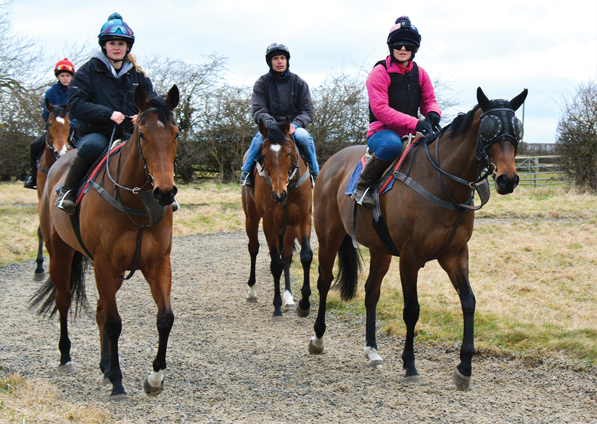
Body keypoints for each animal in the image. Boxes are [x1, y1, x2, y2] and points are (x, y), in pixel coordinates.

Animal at [32, 84, 179, 400]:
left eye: (175, 134)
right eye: (142, 134)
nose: (165, 192)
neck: (136, 201)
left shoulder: (158, 263)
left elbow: (165, 318)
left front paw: (154, 378)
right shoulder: (103, 263)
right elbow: (113, 323)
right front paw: (118, 382)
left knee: (100, 308)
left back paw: (104, 365)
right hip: (60, 253)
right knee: (64, 299)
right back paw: (66, 356)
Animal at [241, 117, 314, 322]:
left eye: (288, 153)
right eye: (264, 156)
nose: (279, 194)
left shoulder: (303, 218)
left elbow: (305, 256)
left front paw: (303, 304)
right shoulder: (269, 223)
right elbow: (275, 264)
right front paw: (276, 308)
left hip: (288, 226)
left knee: (287, 256)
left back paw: (289, 297)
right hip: (251, 218)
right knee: (253, 249)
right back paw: (252, 292)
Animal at [308, 87, 528, 390]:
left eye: (516, 129)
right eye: (488, 130)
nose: (508, 179)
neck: (441, 182)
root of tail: (332, 162)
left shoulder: (455, 254)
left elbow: (469, 302)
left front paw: (465, 367)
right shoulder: (410, 257)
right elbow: (412, 309)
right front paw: (410, 364)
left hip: (380, 250)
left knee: (371, 292)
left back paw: (372, 350)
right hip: (329, 237)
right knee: (324, 281)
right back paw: (318, 338)